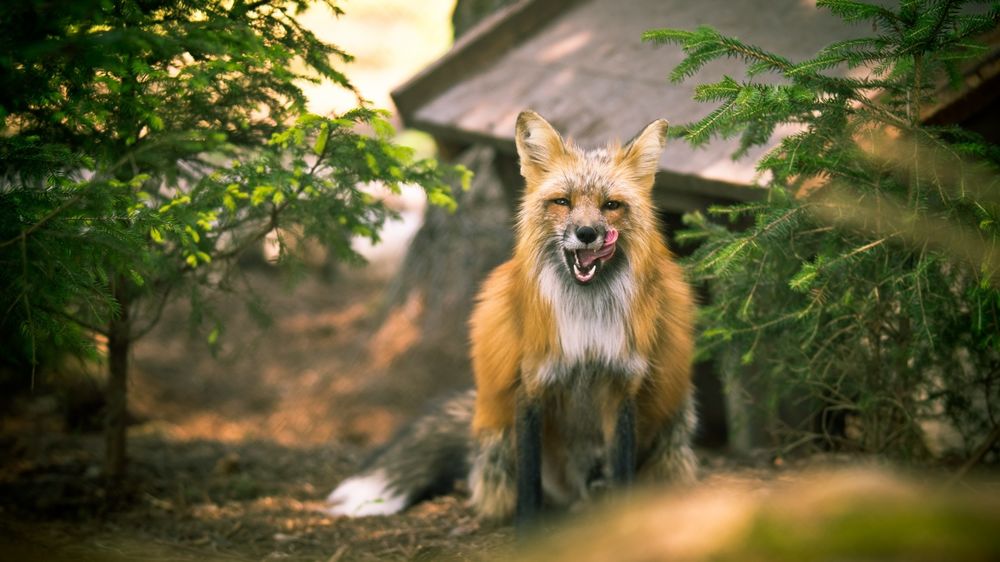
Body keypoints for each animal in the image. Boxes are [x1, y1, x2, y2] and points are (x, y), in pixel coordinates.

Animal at [325, 111, 697, 524]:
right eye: (563, 201)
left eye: (611, 205)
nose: (586, 233)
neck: (587, 320)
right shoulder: (531, 384)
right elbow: (529, 486)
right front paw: (527, 531)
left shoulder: (622, 387)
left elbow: (624, 476)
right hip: (500, 439)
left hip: (671, 427)